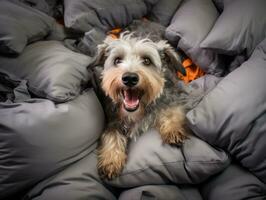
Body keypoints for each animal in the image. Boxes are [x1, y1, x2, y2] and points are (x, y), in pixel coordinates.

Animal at [90, 32, 192, 180]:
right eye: (117, 60)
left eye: (147, 61)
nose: (130, 78)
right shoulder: (113, 120)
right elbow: (111, 135)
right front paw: (111, 161)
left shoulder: (172, 98)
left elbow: (173, 112)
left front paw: (173, 130)